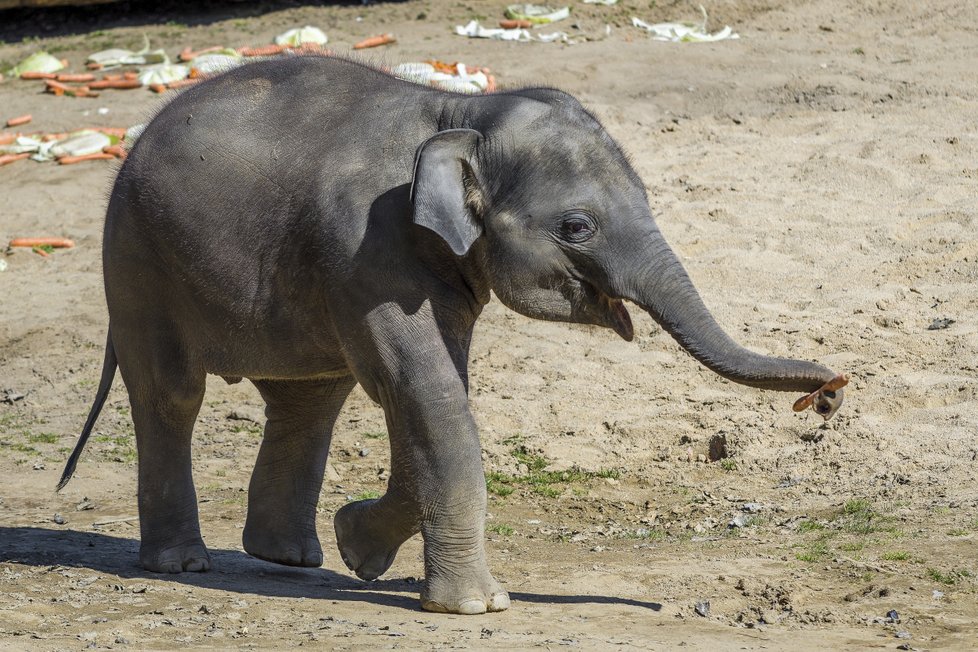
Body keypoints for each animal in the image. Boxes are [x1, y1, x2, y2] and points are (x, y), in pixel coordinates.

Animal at [59, 54, 840, 612]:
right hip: (136, 264)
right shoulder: (367, 251)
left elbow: (431, 394)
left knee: (310, 397)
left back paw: (291, 558)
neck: (457, 113)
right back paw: (183, 564)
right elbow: (425, 391)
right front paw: (476, 607)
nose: (832, 390)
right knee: (171, 397)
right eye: (576, 227)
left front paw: (359, 548)